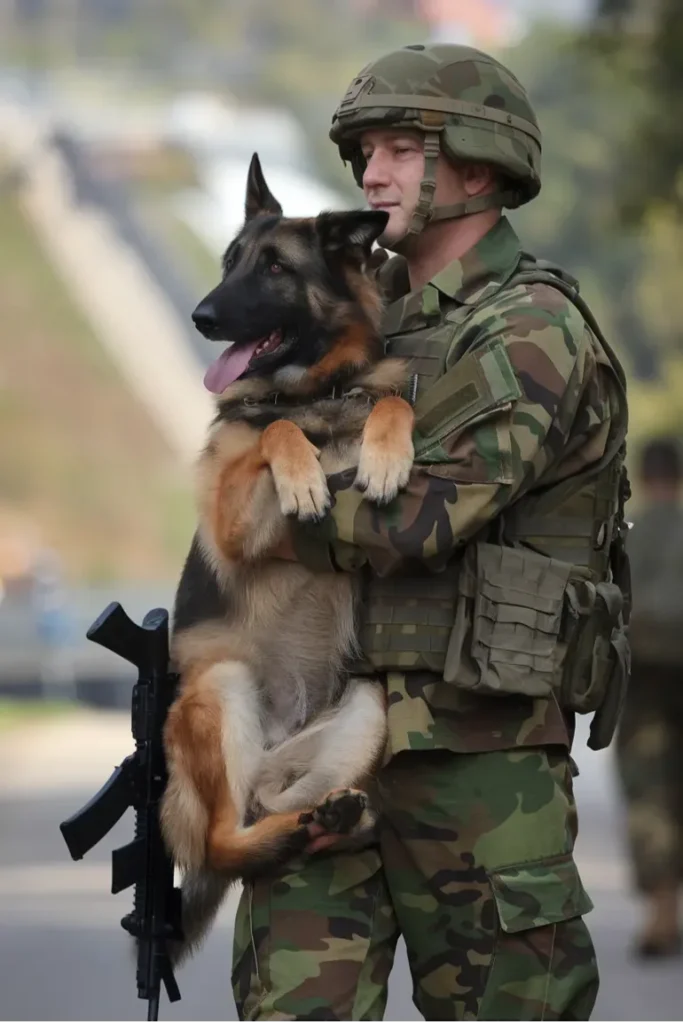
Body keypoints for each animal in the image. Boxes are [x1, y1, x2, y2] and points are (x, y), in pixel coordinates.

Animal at [161, 151, 417, 958]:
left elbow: (390, 400)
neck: (316, 391)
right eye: (229, 262)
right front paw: (303, 476)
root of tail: (281, 736)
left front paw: (386, 457)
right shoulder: (231, 514)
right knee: (221, 841)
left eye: (274, 267)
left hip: (367, 705)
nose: (202, 317)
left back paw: (325, 821)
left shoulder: (370, 394)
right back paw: (296, 832)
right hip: (222, 690)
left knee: (269, 806)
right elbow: (275, 432)